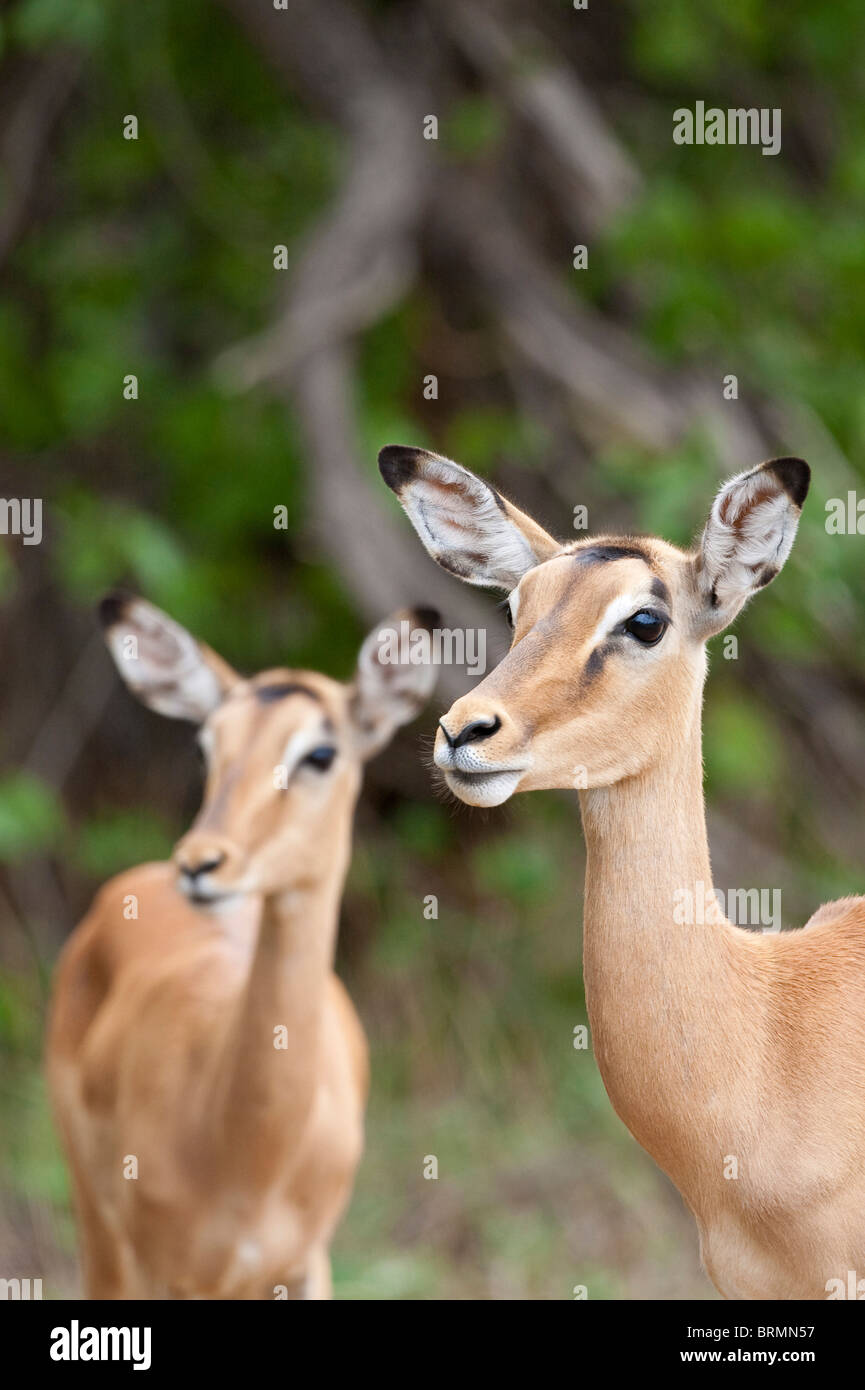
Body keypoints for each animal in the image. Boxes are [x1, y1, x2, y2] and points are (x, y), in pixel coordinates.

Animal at [47, 593, 437, 1299]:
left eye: (320, 753)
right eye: (206, 748)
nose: (201, 863)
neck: (252, 1157)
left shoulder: (307, 1267)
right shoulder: (168, 1273)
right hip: (99, 1226)